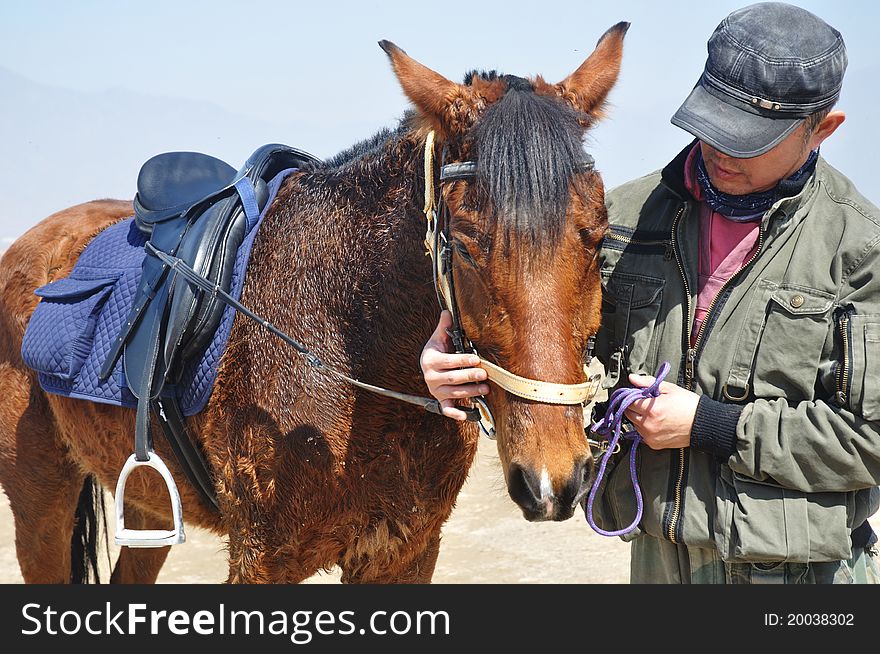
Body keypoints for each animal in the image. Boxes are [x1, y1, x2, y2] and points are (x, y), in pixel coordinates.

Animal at [0, 25, 624, 588]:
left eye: (597, 238)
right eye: (467, 245)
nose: (552, 479)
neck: (349, 345)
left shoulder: (402, 554)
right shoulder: (262, 559)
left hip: (148, 499)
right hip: (40, 497)